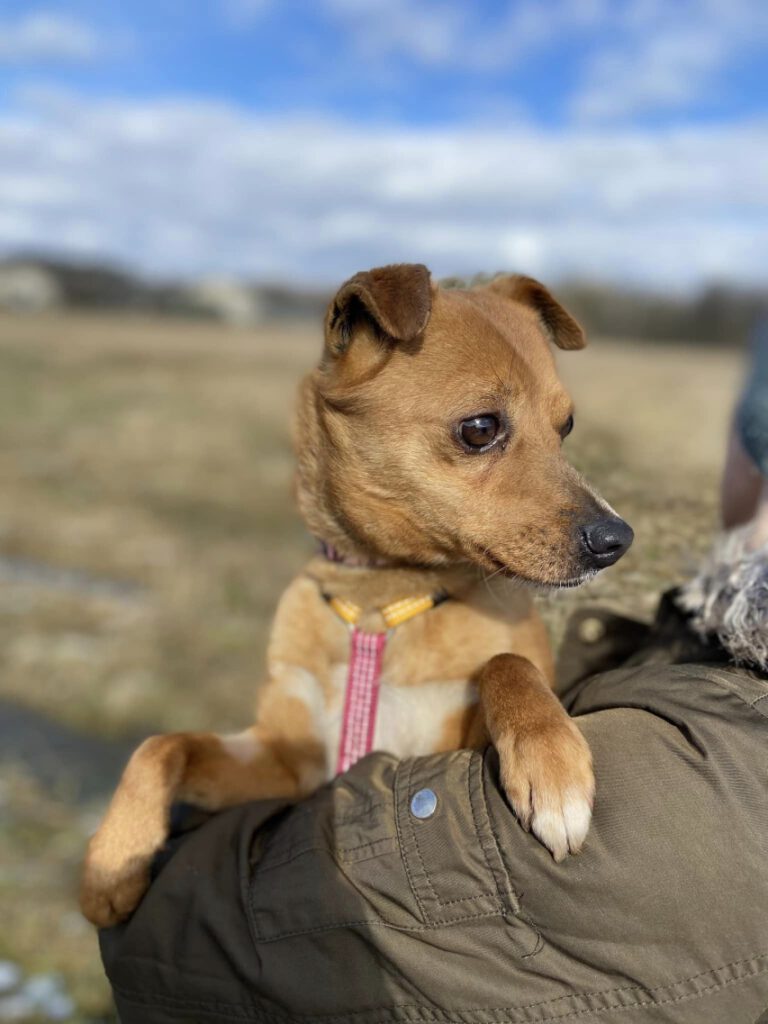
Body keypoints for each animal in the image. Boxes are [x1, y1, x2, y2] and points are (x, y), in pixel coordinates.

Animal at [79, 264, 630, 929]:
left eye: (565, 428)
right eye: (480, 429)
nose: (616, 539)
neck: (379, 603)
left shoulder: (452, 738)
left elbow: (507, 663)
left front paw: (552, 768)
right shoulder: (289, 764)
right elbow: (161, 745)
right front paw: (112, 860)